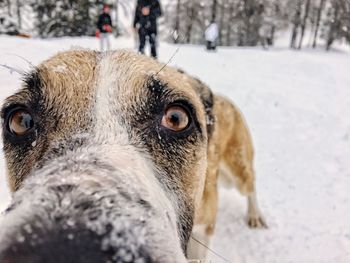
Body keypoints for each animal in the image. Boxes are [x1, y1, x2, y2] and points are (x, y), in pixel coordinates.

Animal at [0, 50, 266, 263]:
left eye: (176, 118)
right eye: (20, 121)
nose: (64, 250)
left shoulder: (204, 225)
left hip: (238, 171)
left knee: (251, 185)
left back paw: (255, 216)